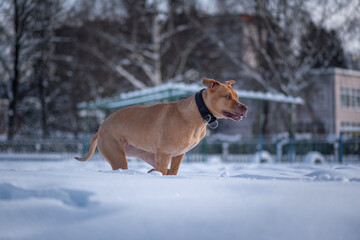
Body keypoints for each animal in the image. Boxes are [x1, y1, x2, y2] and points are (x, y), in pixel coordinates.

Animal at [75, 78, 248, 174]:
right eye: (227, 97)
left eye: (237, 96)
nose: (245, 107)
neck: (198, 113)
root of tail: (101, 127)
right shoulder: (164, 153)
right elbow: (166, 172)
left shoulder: (178, 154)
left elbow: (173, 171)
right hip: (118, 155)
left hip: (146, 154)